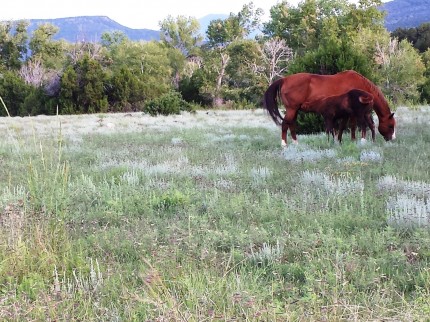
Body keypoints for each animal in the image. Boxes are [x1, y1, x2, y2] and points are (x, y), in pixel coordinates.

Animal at [262, 71, 396, 147]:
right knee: (285, 124)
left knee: (291, 125)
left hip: (294, 110)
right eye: (390, 126)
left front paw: (338, 140)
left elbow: (341, 127)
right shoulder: (352, 113)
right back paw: (284, 144)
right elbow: (352, 126)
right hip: (291, 109)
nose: (392, 139)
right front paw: (353, 140)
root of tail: (284, 79)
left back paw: (295, 143)